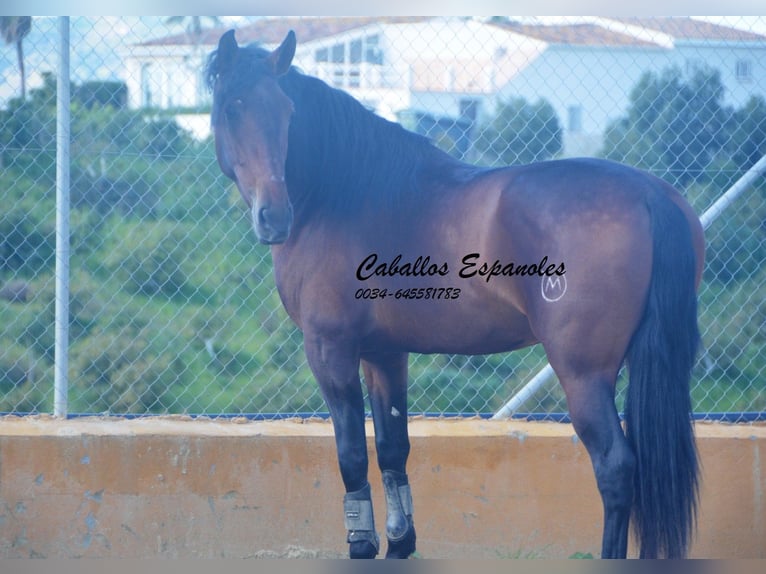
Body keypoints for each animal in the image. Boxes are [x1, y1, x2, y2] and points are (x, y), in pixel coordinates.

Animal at [206, 29, 708, 560]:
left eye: (286, 112)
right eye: (233, 108)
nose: (274, 217)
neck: (345, 193)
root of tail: (648, 194)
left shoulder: (330, 350)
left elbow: (351, 452)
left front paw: (362, 545)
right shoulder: (385, 353)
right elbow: (392, 447)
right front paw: (400, 544)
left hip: (583, 373)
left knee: (615, 467)